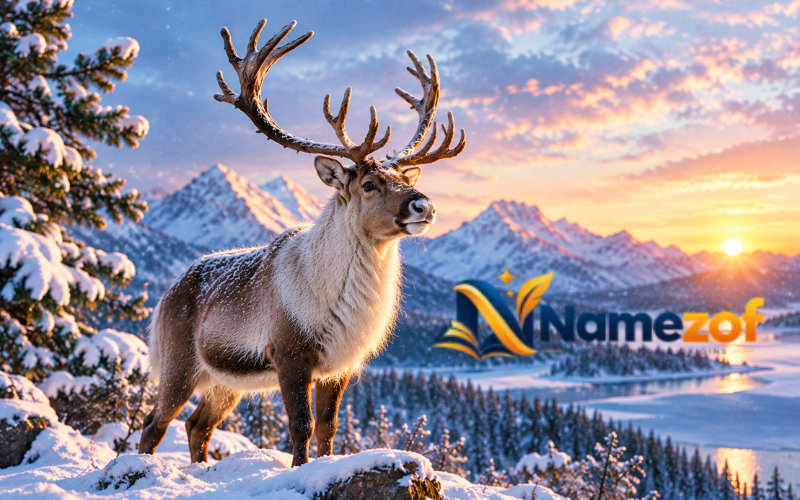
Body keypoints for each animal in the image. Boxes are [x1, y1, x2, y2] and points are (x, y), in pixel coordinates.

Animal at [138, 18, 465, 467]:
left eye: (403, 177)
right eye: (369, 183)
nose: (424, 205)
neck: (339, 303)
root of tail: (164, 297)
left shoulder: (341, 365)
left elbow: (329, 428)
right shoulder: (290, 354)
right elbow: (301, 426)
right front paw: (298, 469)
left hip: (226, 382)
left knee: (197, 425)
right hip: (179, 361)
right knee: (154, 424)